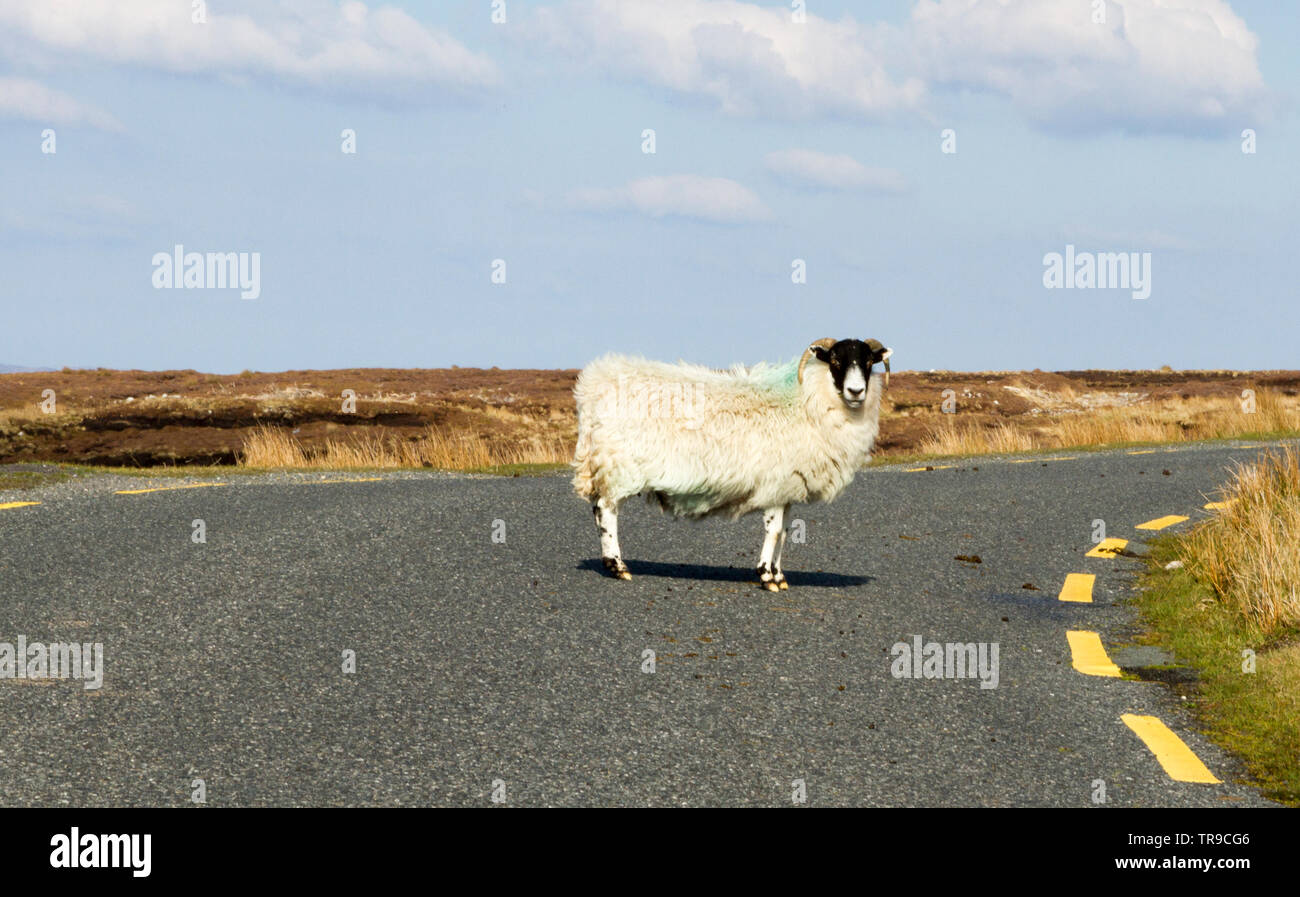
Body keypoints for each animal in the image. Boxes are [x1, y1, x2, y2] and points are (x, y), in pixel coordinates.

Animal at [571, 337, 892, 591]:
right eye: (836, 359)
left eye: (868, 362)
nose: (856, 392)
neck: (805, 400)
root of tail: (594, 383)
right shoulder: (776, 483)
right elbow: (774, 531)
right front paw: (766, 576)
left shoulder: (788, 487)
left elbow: (786, 532)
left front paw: (779, 576)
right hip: (618, 466)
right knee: (606, 510)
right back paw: (618, 566)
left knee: (598, 508)